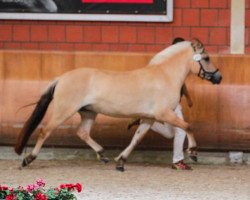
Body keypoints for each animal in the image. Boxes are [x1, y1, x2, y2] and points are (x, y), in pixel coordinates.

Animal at [14, 38, 221, 169]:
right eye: (206, 58)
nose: (219, 77)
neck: (164, 75)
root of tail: (61, 78)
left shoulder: (149, 119)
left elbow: (136, 138)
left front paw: (121, 161)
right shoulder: (164, 114)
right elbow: (188, 126)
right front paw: (193, 152)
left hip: (88, 113)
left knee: (82, 132)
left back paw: (103, 155)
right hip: (63, 111)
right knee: (45, 131)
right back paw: (28, 159)